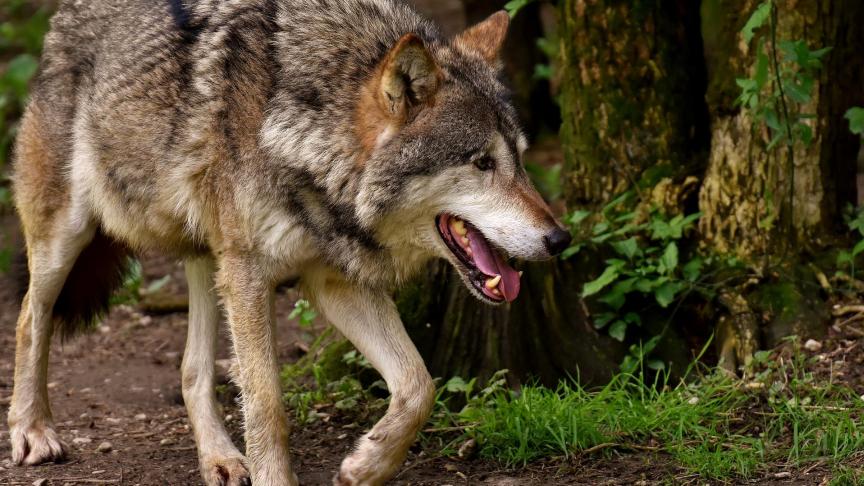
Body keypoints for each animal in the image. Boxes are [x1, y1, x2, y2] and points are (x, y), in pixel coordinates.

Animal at [8, 0, 572, 482]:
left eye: (521, 160)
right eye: (482, 162)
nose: (560, 238)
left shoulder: (332, 281)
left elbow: (419, 385)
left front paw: (367, 465)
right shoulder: (251, 276)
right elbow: (267, 405)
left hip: (209, 258)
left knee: (192, 371)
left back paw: (220, 458)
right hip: (69, 236)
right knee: (29, 319)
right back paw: (32, 431)